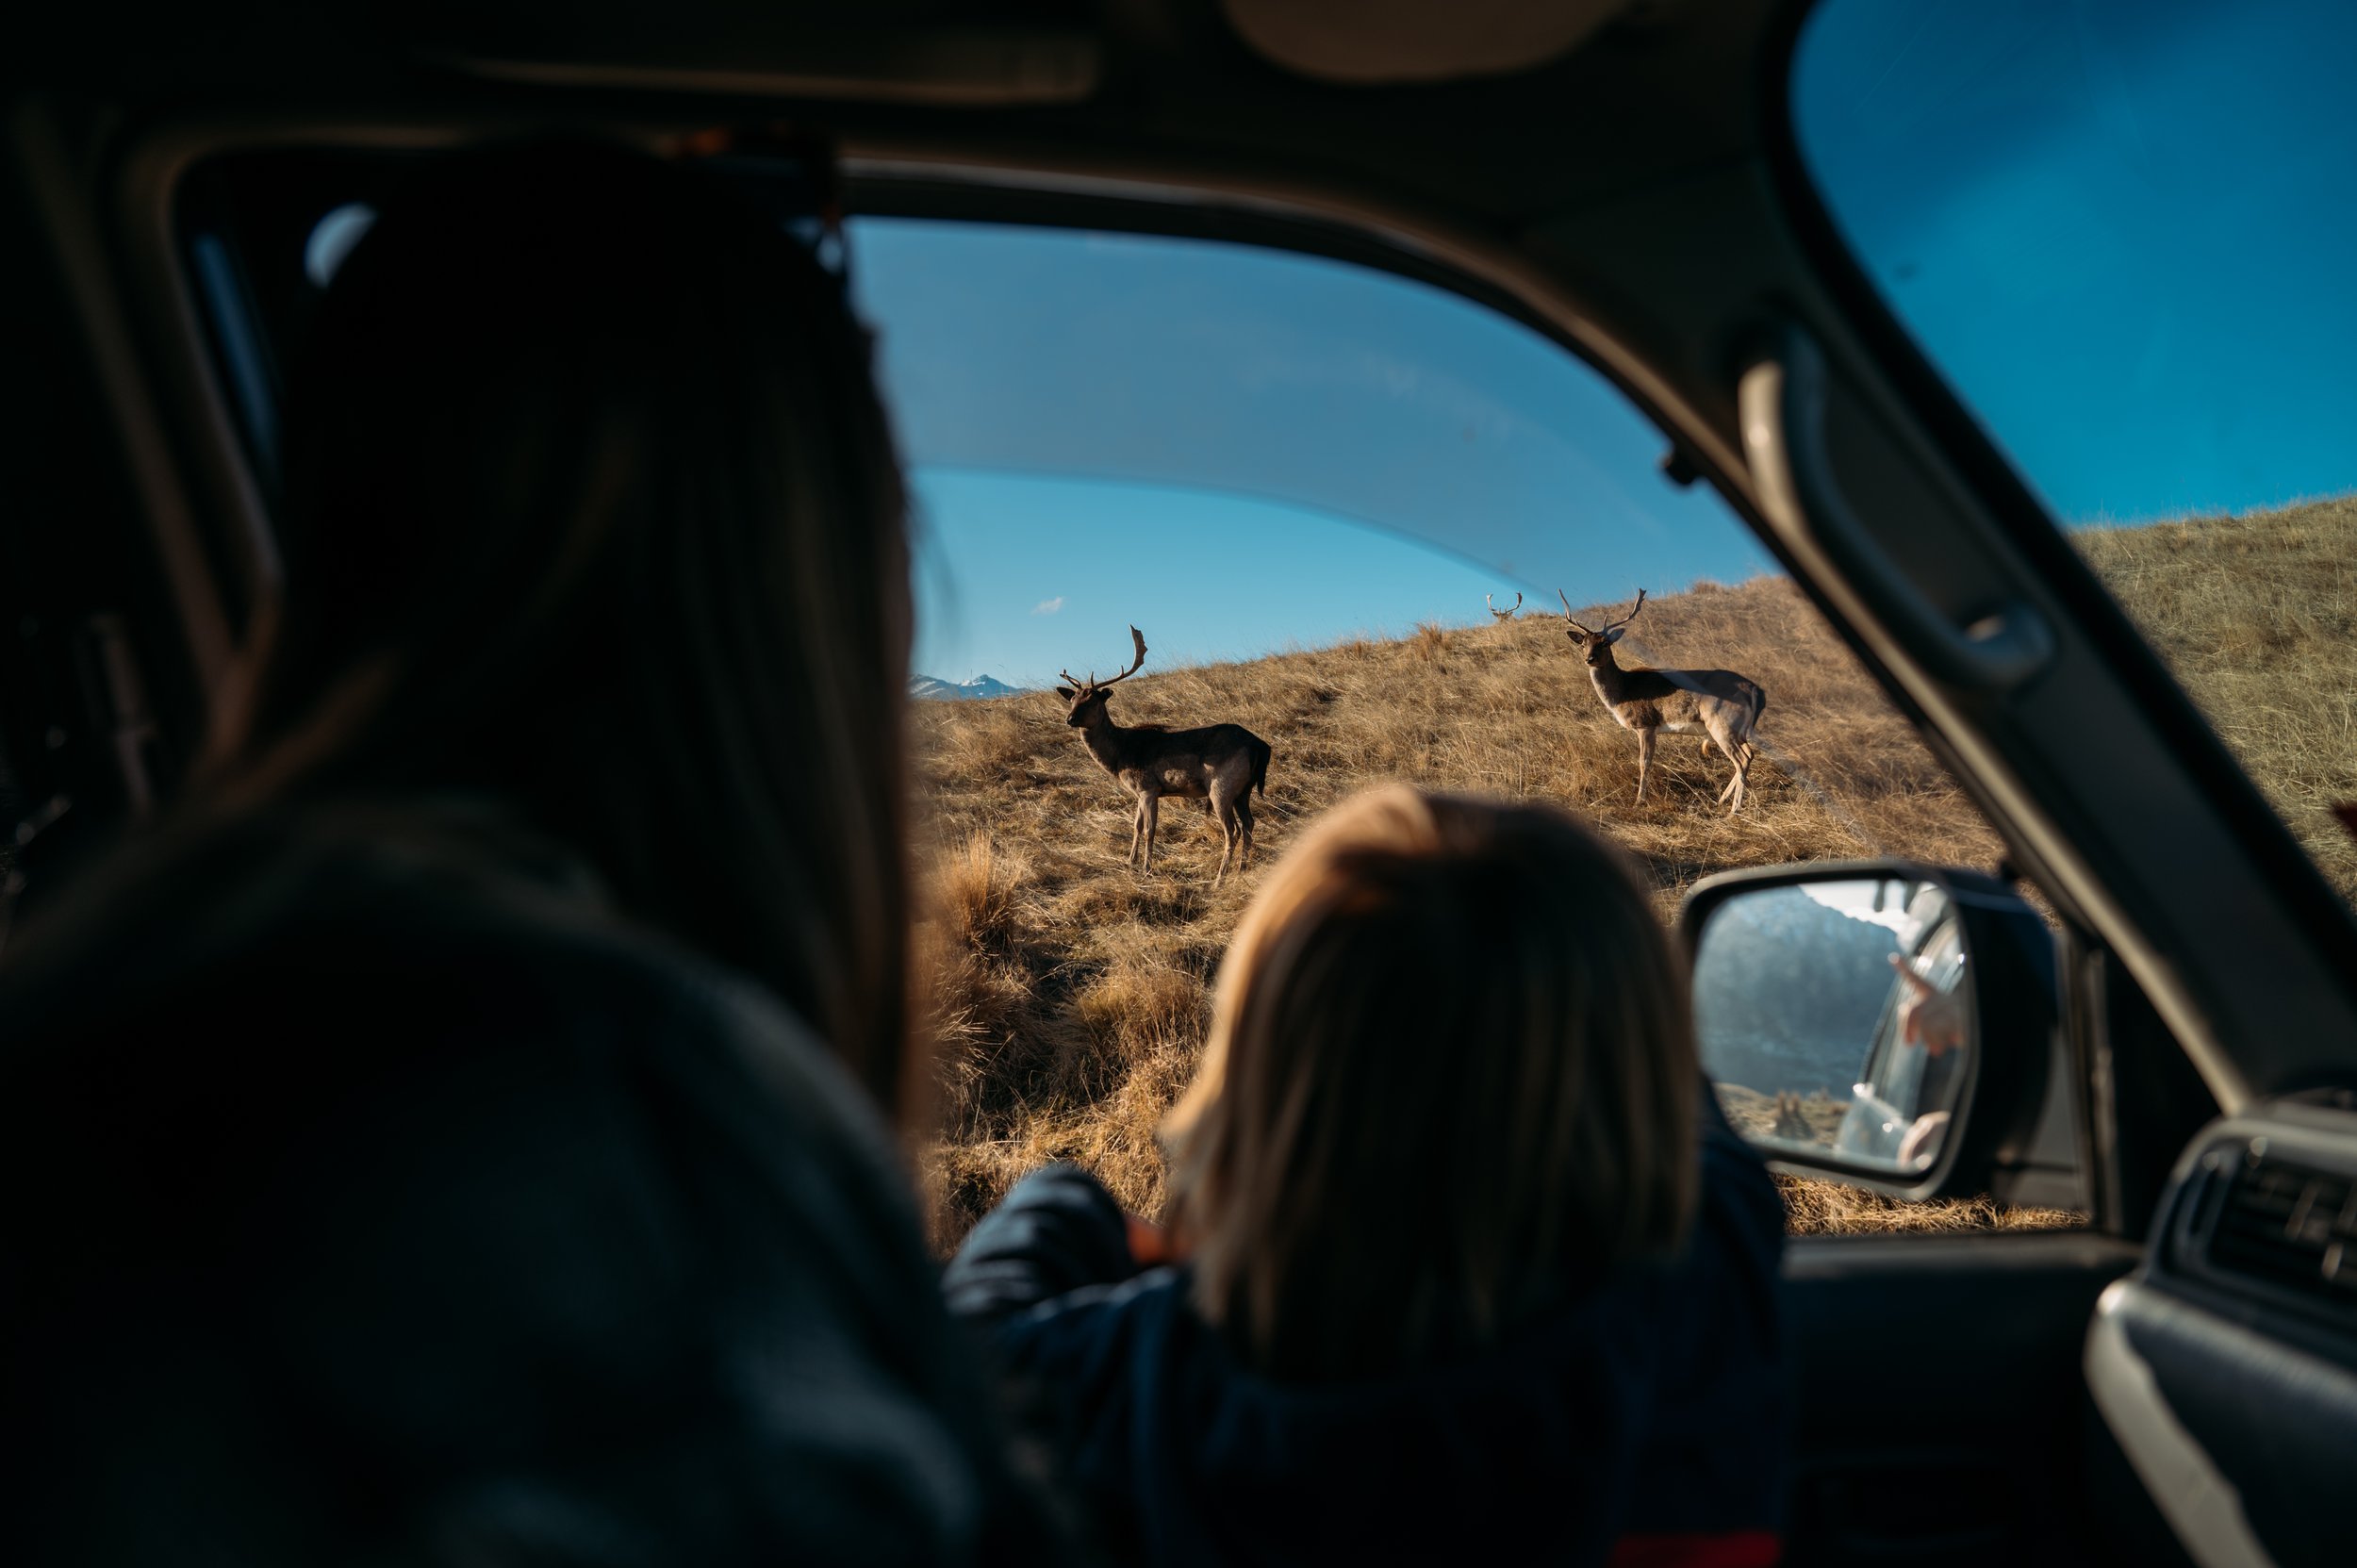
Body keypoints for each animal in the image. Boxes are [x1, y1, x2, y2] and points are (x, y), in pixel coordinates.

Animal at [1056, 627, 1273, 891]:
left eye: (1093, 700)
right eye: (1072, 699)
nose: (1069, 719)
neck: (1120, 756)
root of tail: (1260, 746)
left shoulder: (1149, 787)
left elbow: (1150, 830)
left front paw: (1147, 870)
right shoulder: (1139, 792)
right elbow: (1136, 826)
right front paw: (1130, 863)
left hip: (1221, 786)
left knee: (1233, 831)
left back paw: (1219, 879)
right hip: (1244, 789)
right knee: (1249, 823)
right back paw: (1242, 870)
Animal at [1556, 580, 1763, 811]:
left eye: (1605, 643)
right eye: (1583, 644)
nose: (1590, 659)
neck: (1624, 692)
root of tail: (1754, 690)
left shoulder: (1646, 724)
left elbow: (1644, 763)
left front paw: (1639, 800)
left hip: (1721, 723)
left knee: (1742, 760)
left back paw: (1734, 810)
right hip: (1737, 728)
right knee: (1750, 755)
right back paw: (1721, 800)